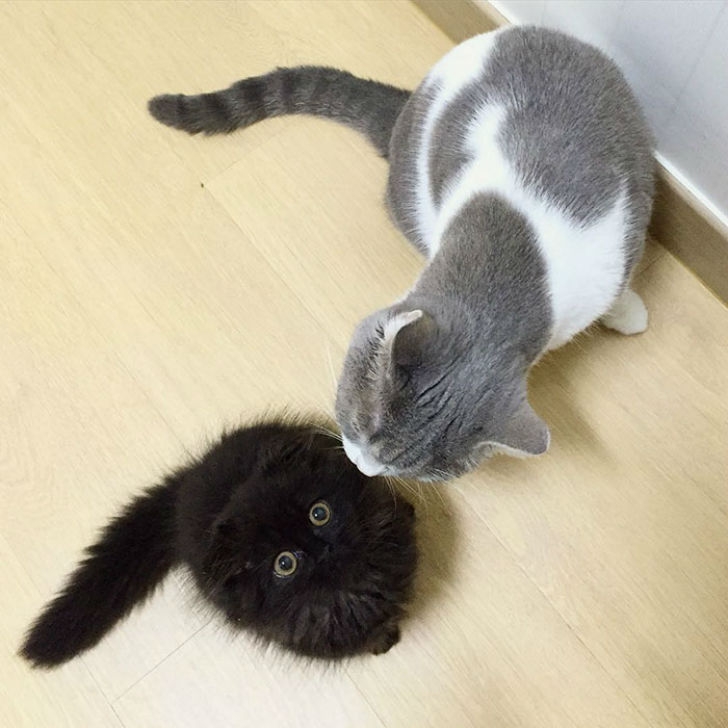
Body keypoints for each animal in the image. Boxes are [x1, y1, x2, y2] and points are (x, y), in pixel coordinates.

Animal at [19, 418, 416, 668]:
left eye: (319, 513)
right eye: (284, 564)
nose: (322, 550)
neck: (357, 584)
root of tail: (185, 483)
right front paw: (383, 641)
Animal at [148, 25, 656, 484]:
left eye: (411, 470)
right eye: (356, 425)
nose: (362, 467)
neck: (516, 272)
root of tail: (405, 112)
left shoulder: (616, 241)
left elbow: (617, 288)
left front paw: (627, 313)